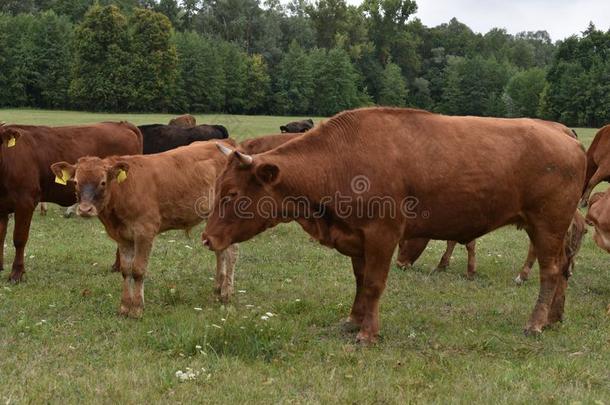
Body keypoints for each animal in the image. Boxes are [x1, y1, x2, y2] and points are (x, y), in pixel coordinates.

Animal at [50, 140, 238, 316]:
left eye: (102, 182)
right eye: (76, 182)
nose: (84, 210)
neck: (123, 191)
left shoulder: (145, 232)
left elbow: (138, 270)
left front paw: (137, 308)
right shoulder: (123, 237)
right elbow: (126, 270)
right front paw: (125, 306)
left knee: (231, 252)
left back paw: (226, 292)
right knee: (220, 251)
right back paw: (218, 289)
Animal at [201, 108, 584, 344]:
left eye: (232, 194)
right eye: (218, 187)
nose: (207, 238)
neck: (341, 159)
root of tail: (564, 134)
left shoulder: (382, 235)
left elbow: (373, 284)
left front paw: (367, 333)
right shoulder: (356, 237)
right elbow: (360, 281)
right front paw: (353, 320)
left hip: (546, 225)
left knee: (551, 271)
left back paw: (535, 323)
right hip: (555, 229)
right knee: (564, 268)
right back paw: (555, 318)